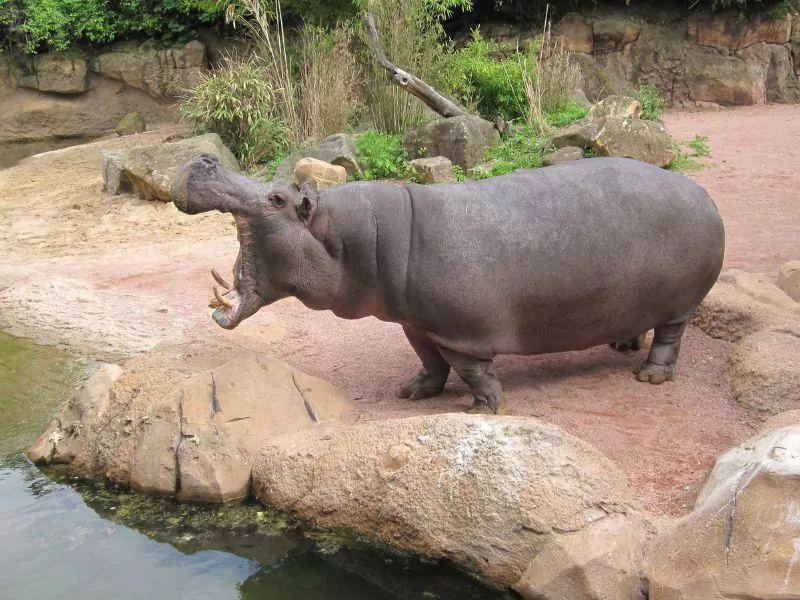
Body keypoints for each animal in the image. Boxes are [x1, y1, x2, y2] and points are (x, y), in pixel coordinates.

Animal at [170, 154, 725, 414]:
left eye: (277, 197)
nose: (205, 160)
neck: (354, 238)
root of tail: (701, 192)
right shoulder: (416, 324)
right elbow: (429, 361)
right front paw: (411, 392)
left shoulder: (463, 331)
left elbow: (472, 369)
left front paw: (486, 407)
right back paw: (620, 344)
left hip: (680, 304)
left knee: (671, 336)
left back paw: (649, 377)